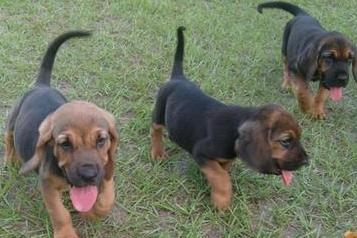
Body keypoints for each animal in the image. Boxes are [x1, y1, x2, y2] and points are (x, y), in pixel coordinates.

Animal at [4, 31, 118, 238]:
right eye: (65, 144)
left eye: (101, 140)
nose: (89, 175)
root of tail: (41, 86)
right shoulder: (47, 183)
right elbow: (59, 212)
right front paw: (66, 233)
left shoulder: (105, 169)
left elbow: (107, 195)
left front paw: (94, 211)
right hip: (13, 118)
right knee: (8, 137)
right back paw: (11, 158)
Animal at [149, 27, 308, 210]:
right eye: (286, 141)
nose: (307, 161)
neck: (234, 130)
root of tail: (178, 77)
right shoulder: (201, 152)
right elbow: (222, 179)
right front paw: (221, 202)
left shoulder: (223, 160)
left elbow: (221, 172)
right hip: (159, 111)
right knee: (155, 129)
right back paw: (157, 152)